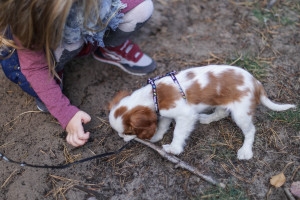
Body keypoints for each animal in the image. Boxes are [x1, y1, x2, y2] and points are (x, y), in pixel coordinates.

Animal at [108, 65, 296, 160]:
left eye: (128, 132)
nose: (121, 138)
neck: (154, 94)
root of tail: (256, 83)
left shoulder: (185, 115)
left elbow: (178, 133)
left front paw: (173, 149)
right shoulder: (165, 113)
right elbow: (162, 126)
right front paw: (156, 137)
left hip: (241, 113)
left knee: (250, 130)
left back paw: (245, 151)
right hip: (222, 102)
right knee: (221, 113)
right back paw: (206, 118)